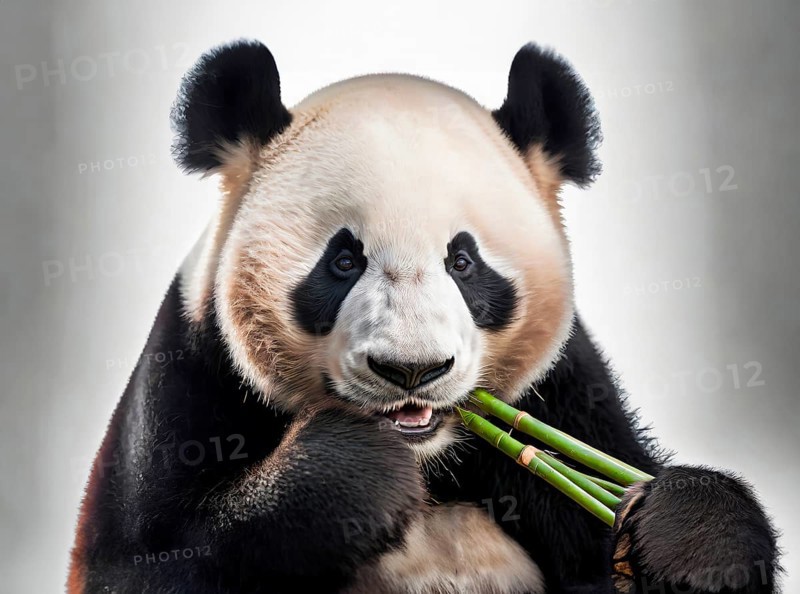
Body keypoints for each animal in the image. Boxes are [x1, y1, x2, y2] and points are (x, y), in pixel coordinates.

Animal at [68, 40, 780, 594]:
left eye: (463, 262)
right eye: (343, 260)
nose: (411, 370)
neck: (429, 460)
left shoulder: (563, 393)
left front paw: (692, 539)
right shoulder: (187, 383)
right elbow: (147, 563)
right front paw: (349, 478)